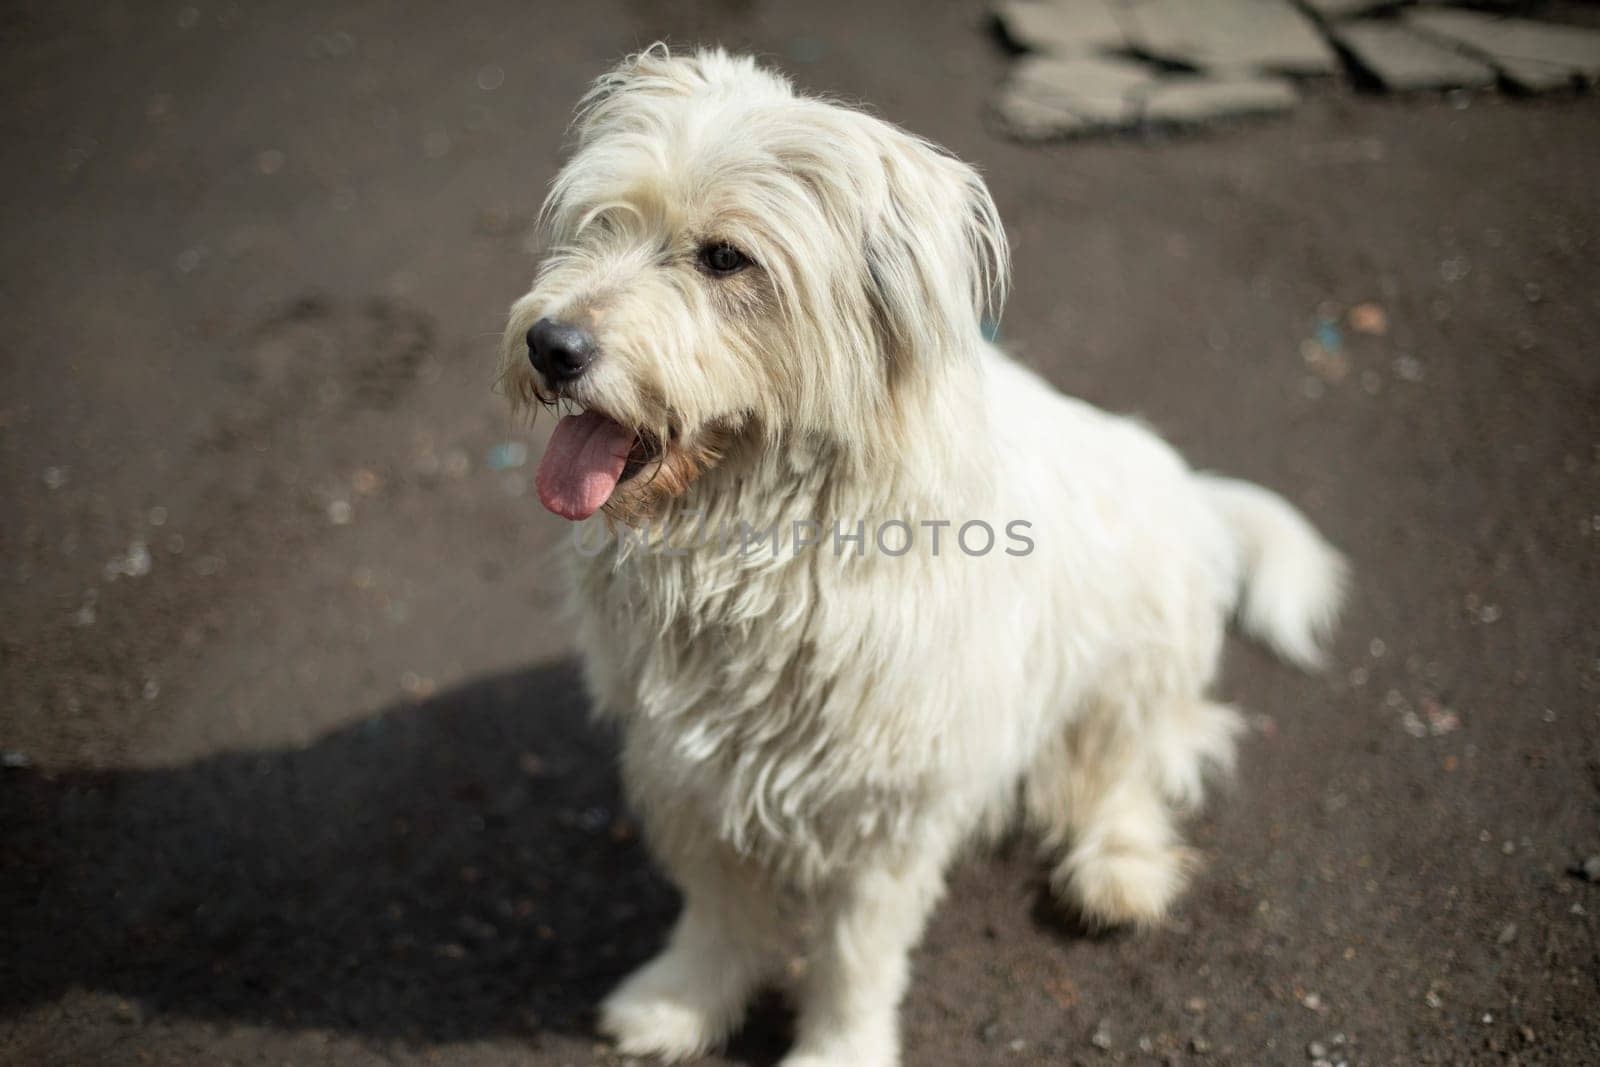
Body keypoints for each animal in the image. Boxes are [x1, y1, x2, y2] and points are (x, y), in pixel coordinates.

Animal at [496, 45, 1337, 1062]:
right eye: (601, 222)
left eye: (725, 257)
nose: (550, 344)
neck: (761, 543)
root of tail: (1193, 492)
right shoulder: (686, 762)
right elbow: (718, 908)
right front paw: (683, 1001)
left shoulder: (890, 802)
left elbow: (856, 951)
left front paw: (837, 1049)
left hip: (1133, 656)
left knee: (1135, 766)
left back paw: (1118, 868)